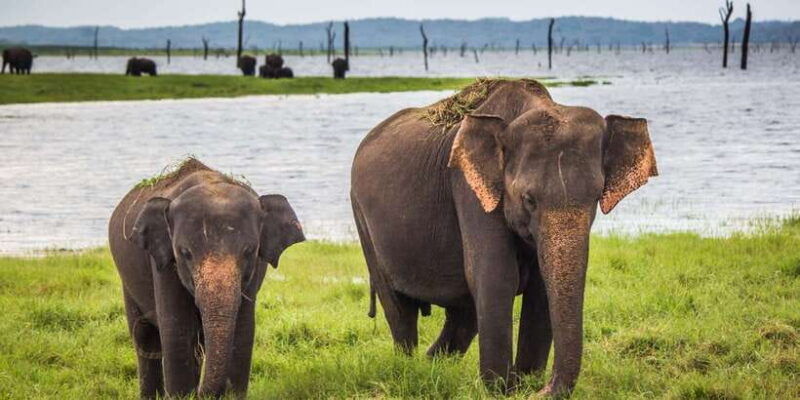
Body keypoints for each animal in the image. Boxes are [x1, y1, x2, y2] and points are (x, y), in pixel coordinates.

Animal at [108, 158, 305, 398]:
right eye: (185, 253)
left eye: (249, 251)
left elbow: (243, 330)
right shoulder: (163, 264)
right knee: (146, 338)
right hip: (128, 281)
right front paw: (183, 395)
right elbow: (177, 329)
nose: (203, 392)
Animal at [350, 79, 658, 396]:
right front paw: (501, 390)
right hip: (362, 218)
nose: (542, 389)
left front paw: (522, 385)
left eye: (596, 197)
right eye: (528, 199)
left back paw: (430, 366)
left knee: (463, 316)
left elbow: (539, 288)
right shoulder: (469, 188)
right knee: (401, 312)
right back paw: (409, 367)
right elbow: (496, 276)